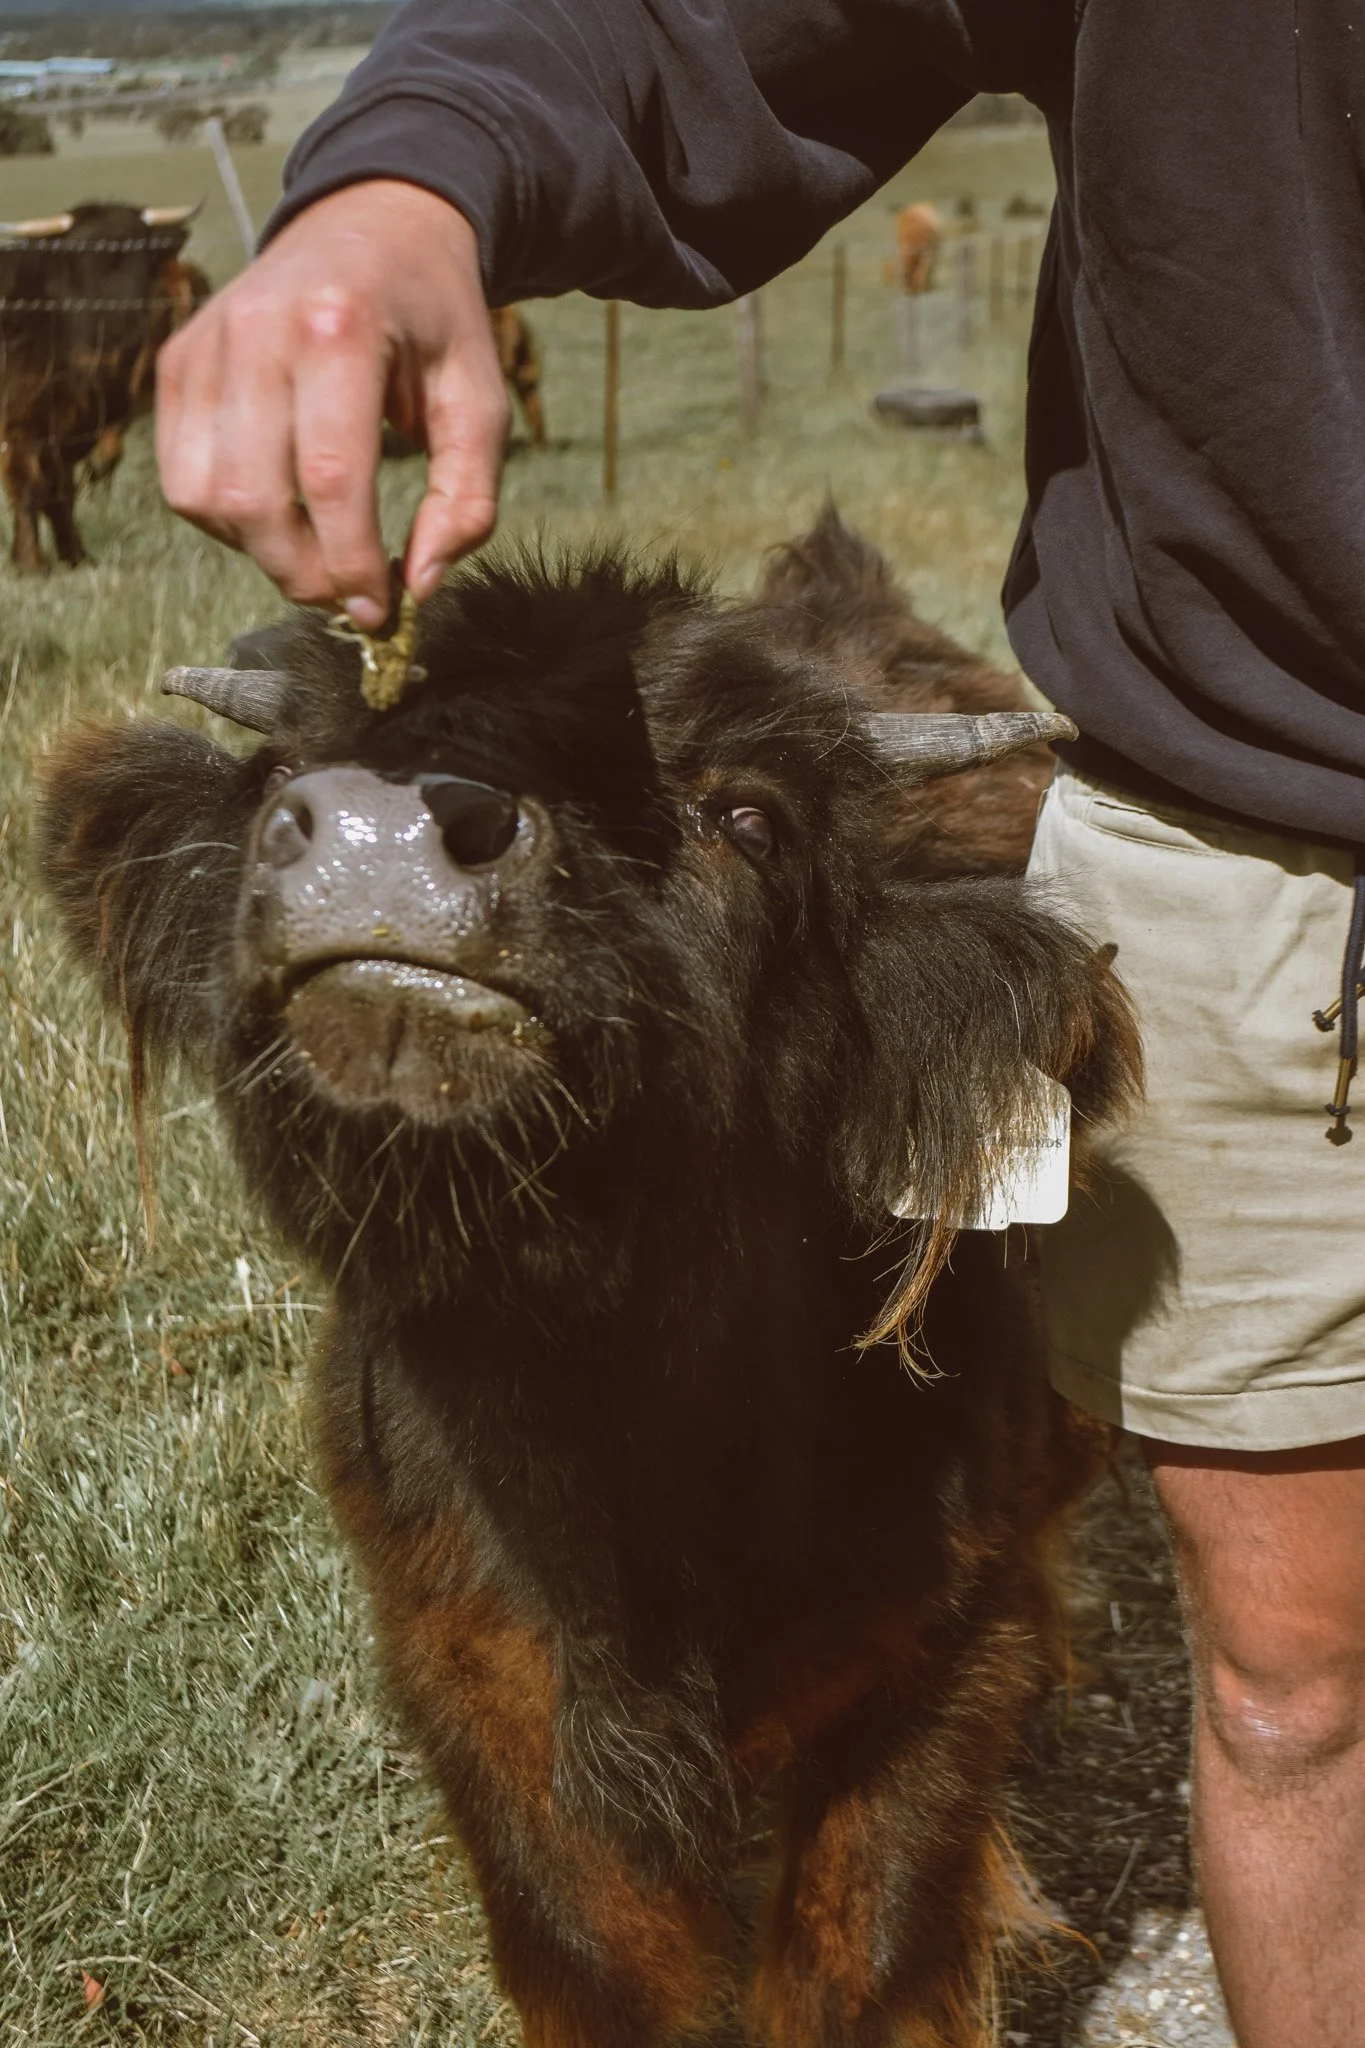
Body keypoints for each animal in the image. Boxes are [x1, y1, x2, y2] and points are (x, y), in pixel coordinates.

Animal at [0, 201, 209, 572]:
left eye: (138, 249)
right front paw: (30, 562)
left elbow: (61, 490)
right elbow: (29, 486)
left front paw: (75, 556)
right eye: (81, 257)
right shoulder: (22, 424)